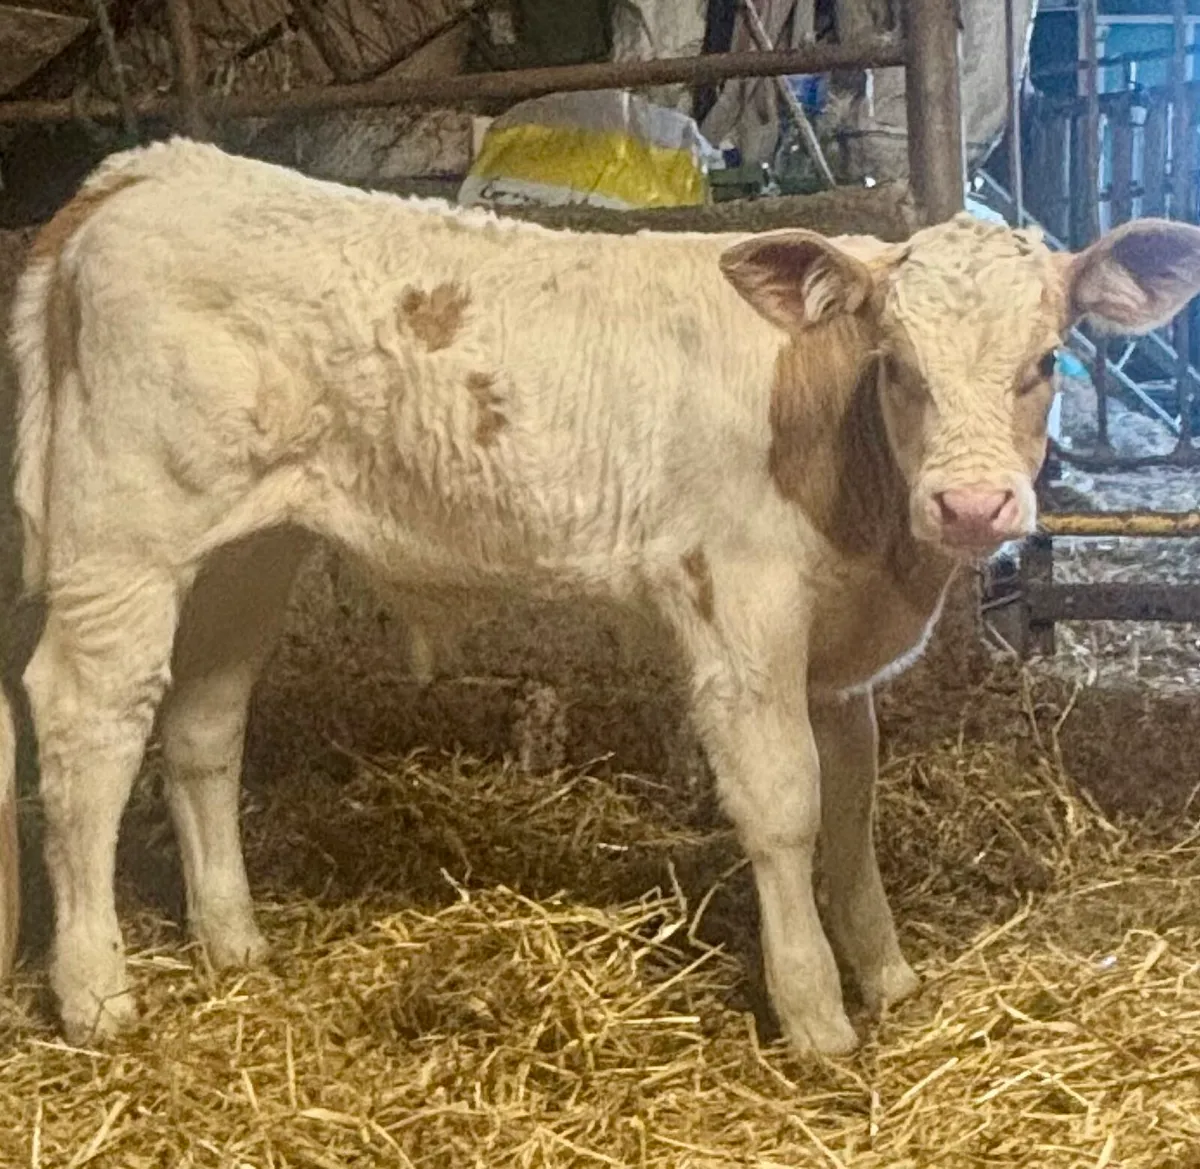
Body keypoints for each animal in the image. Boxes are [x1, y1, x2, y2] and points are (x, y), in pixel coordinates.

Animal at [5, 137, 1200, 1052]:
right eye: (897, 363)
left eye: (1043, 362)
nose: (970, 504)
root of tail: (153, 169)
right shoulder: (741, 618)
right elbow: (788, 805)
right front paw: (816, 1017)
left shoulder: (836, 654)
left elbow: (853, 806)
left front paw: (890, 976)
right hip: (121, 536)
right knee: (85, 721)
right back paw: (96, 991)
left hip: (252, 546)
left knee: (203, 719)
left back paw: (234, 942)